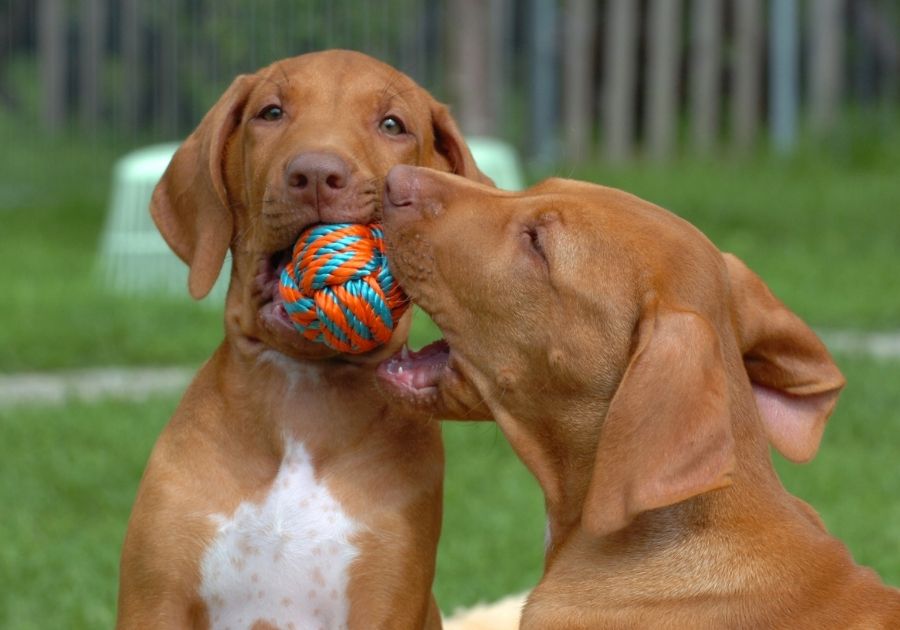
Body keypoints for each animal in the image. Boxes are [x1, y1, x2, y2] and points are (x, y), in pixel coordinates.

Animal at [117, 53, 488, 630]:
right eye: (271, 113)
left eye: (392, 125)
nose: (315, 175)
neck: (301, 395)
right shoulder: (154, 599)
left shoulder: (385, 600)